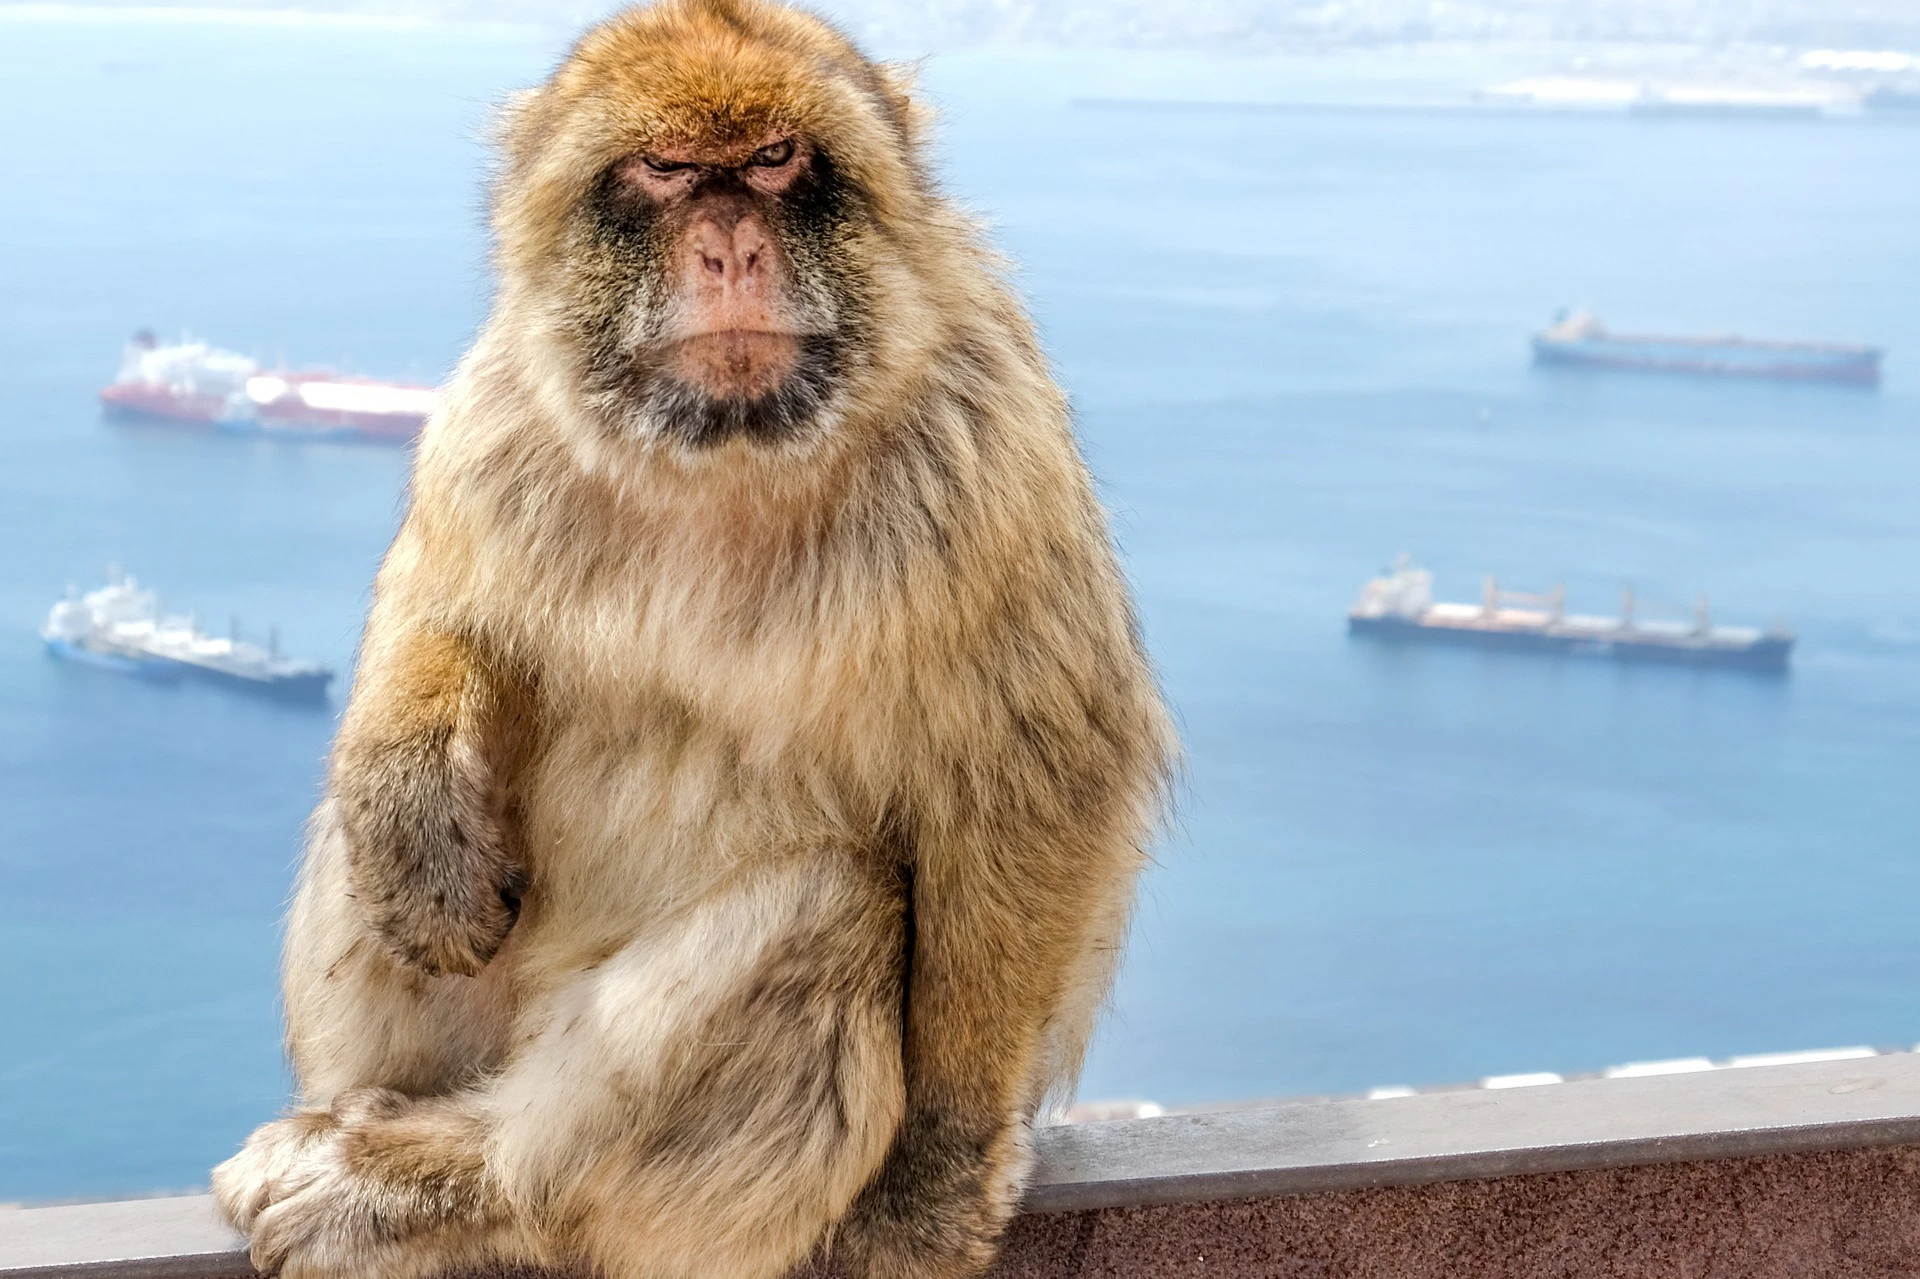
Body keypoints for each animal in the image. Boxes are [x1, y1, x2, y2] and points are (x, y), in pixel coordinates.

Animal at [209, 4, 1174, 1279]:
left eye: (773, 160)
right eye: (665, 170)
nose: (729, 252)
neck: (729, 460)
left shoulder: (990, 446)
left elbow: (1035, 784)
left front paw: (935, 1170)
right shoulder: (500, 414)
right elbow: (448, 608)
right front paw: (410, 792)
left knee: (834, 906)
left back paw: (456, 1185)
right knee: (383, 841)